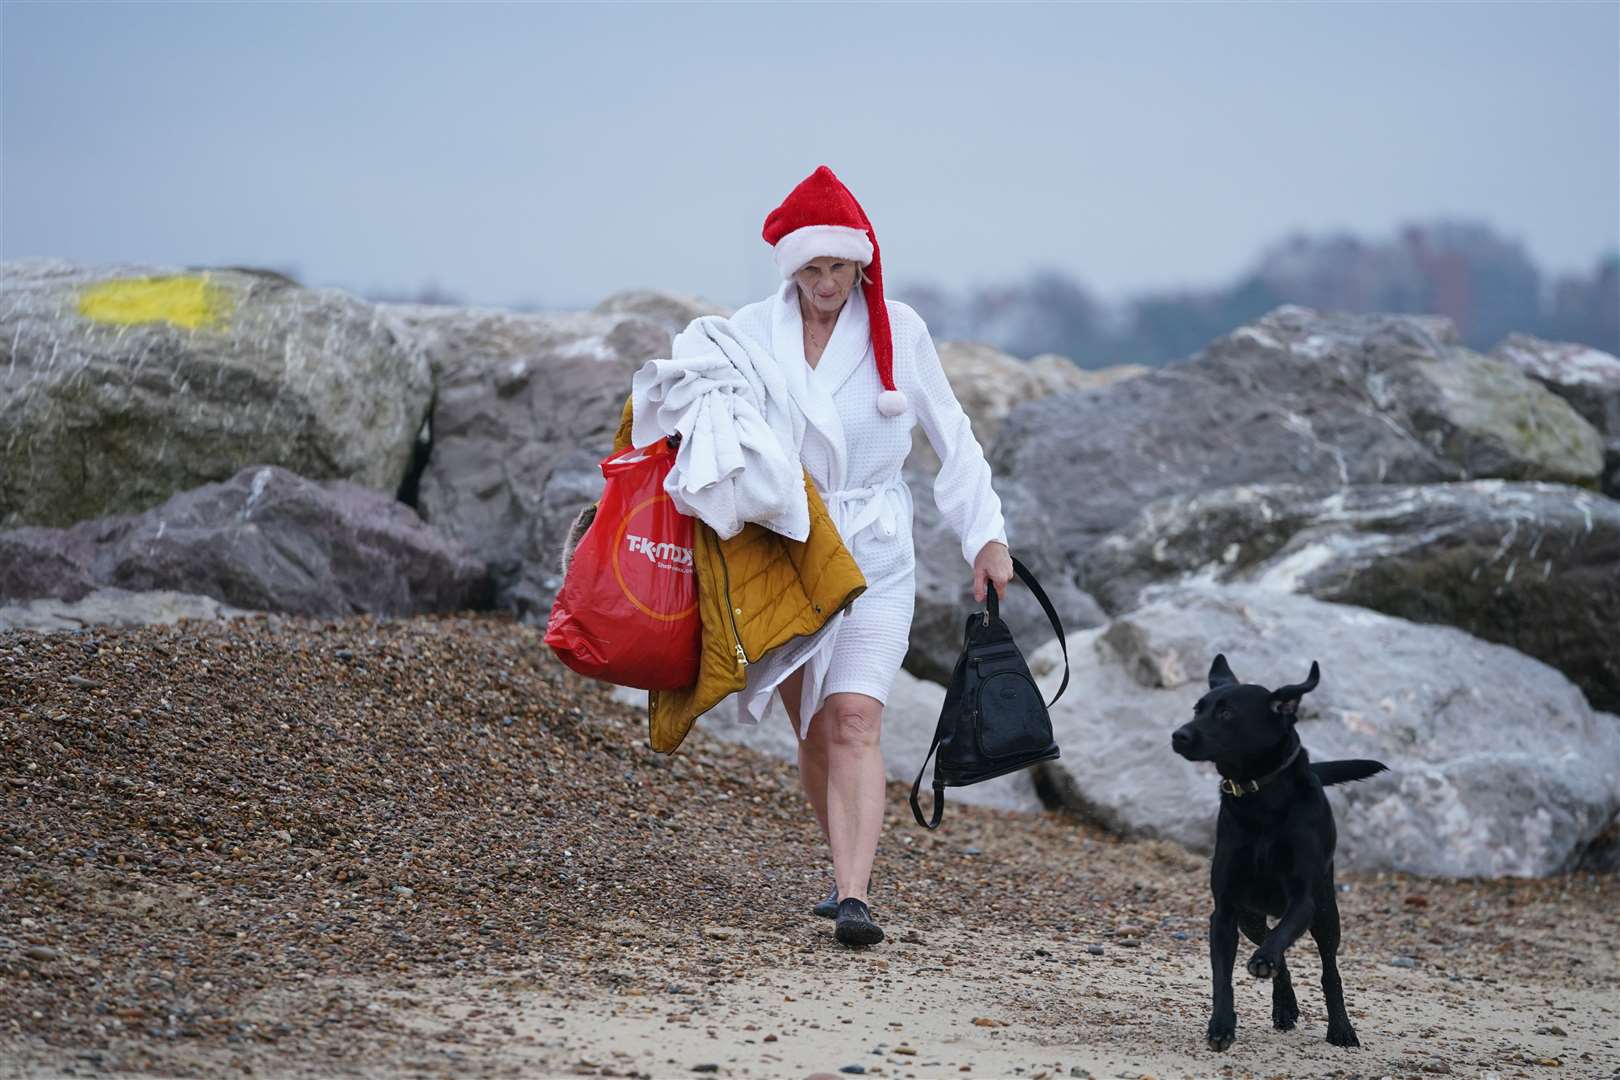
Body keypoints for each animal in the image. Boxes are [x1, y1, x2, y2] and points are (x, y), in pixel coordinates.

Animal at [1172, 654, 1386, 1049]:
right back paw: (1284, 1005)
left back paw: (1341, 1028)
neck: (1260, 799)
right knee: (1276, 953)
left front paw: (1265, 961)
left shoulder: (1303, 900)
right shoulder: (1225, 910)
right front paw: (1221, 1025)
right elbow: (1222, 976)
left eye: (1227, 714)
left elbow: (1283, 935)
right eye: (1198, 709)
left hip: (1326, 913)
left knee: (1328, 969)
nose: (1179, 735)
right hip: (1250, 916)